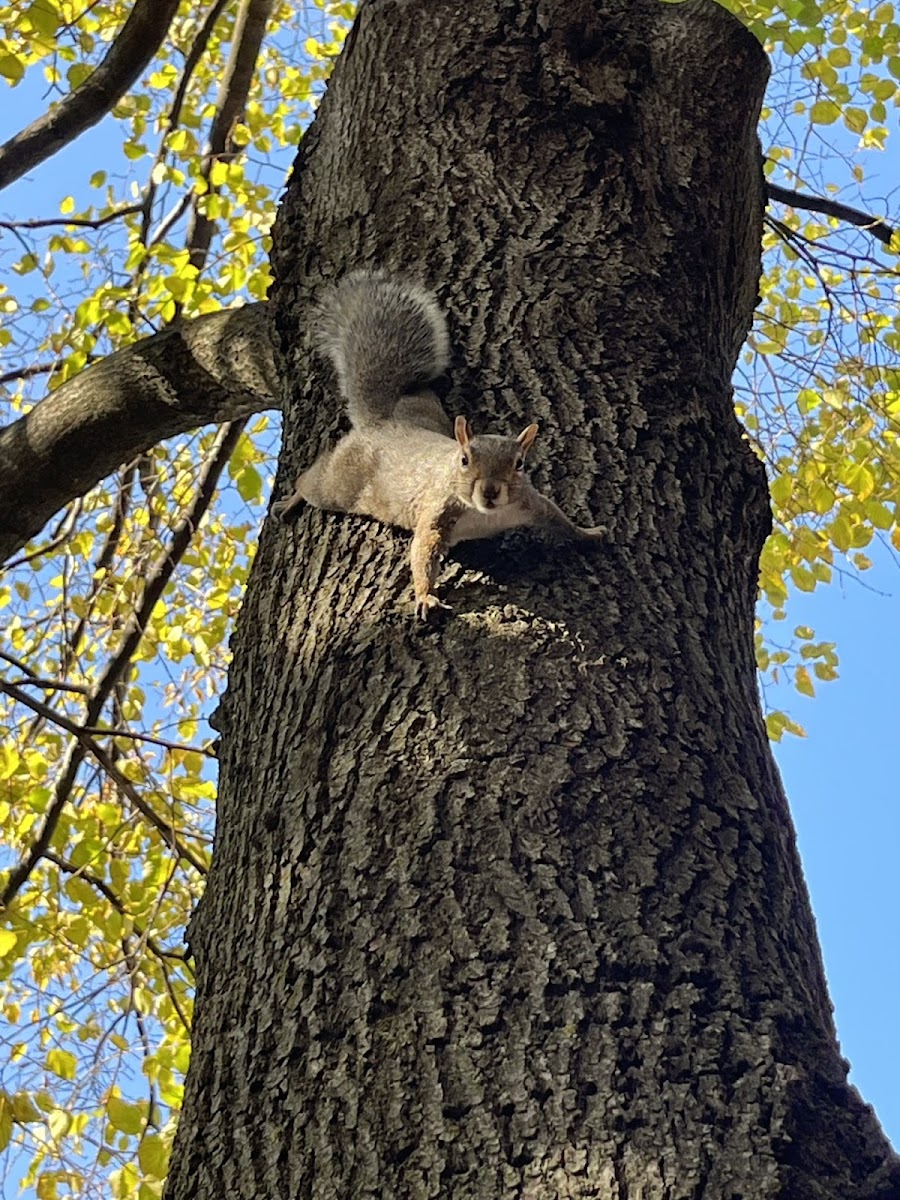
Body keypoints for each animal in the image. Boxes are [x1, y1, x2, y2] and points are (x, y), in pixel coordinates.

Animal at [273, 272, 607, 619]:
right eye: (464, 460)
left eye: (520, 464)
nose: (490, 491)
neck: (484, 514)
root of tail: (381, 421)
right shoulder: (436, 512)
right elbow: (423, 551)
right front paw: (425, 596)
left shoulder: (531, 502)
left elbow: (559, 519)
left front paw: (590, 534)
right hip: (338, 482)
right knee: (310, 482)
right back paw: (291, 500)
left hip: (425, 406)